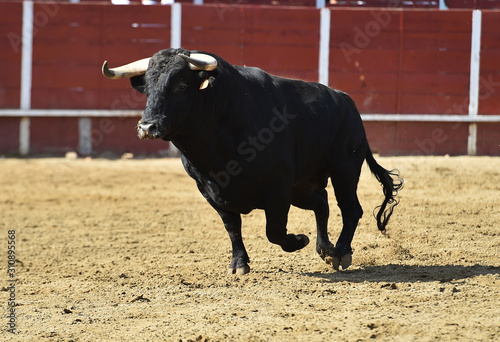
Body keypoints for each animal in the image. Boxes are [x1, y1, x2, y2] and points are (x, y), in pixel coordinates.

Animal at [101, 48, 402, 274]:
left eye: (182, 85)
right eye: (148, 88)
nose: (147, 127)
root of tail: (346, 101)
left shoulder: (278, 188)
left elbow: (275, 231)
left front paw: (297, 240)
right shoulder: (210, 189)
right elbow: (233, 228)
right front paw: (239, 264)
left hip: (345, 168)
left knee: (350, 209)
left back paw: (340, 253)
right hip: (302, 186)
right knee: (322, 202)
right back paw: (324, 249)